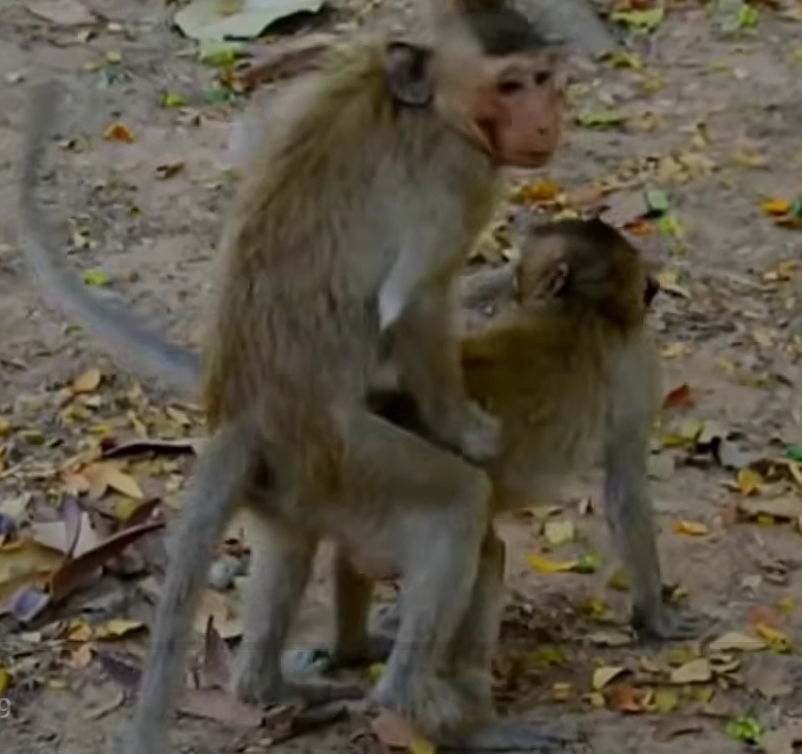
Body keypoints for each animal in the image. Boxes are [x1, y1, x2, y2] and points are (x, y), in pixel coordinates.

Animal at [17, 2, 575, 751]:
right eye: (511, 85)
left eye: (541, 78)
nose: (549, 118)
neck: (420, 103)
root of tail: (244, 409)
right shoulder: (456, 176)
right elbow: (414, 300)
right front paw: (465, 425)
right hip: (347, 456)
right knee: (456, 503)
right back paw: (420, 701)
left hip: (292, 480)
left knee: (292, 543)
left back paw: (268, 686)